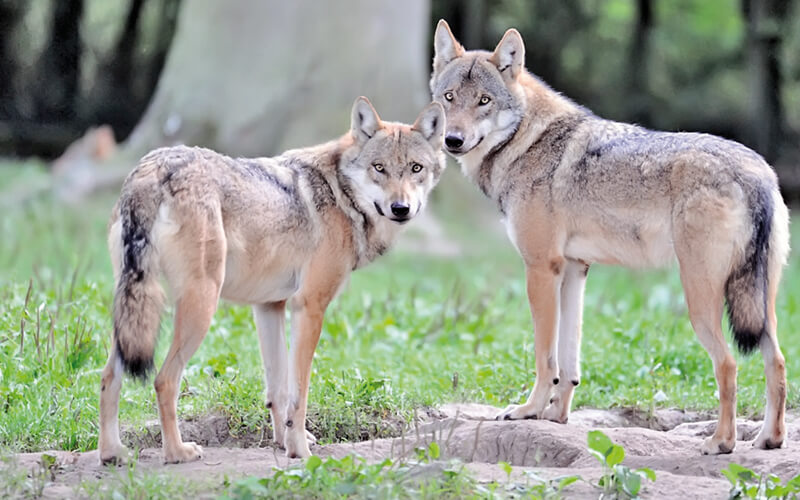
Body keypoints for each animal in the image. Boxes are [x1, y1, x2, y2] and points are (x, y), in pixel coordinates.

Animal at [99, 95, 446, 462]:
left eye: (416, 169)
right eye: (379, 168)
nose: (400, 208)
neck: (341, 195)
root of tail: (152, 168)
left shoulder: (269, 307)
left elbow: (277, 391)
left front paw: (284, 441)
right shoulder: (309, 307)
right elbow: (299, 392)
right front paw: (300, 451)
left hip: (134, 313)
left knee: (108, 376)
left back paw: (112, 453)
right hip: (199, 307)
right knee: (164, 379)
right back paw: (177, 452)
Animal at [428, 20, 792, 458]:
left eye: (484, 101)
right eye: (449, 97)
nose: (453, 140)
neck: (527, 141)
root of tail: (757, 173)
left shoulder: (541, 269)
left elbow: (545, 358)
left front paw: (528, 411)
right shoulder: (574, 270)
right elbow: (568, 363)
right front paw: (556, 417)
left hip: (701, 301)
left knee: (728, 364)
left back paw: (720, 443)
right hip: (760, 305)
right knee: (778, 362)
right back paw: (768, 439)